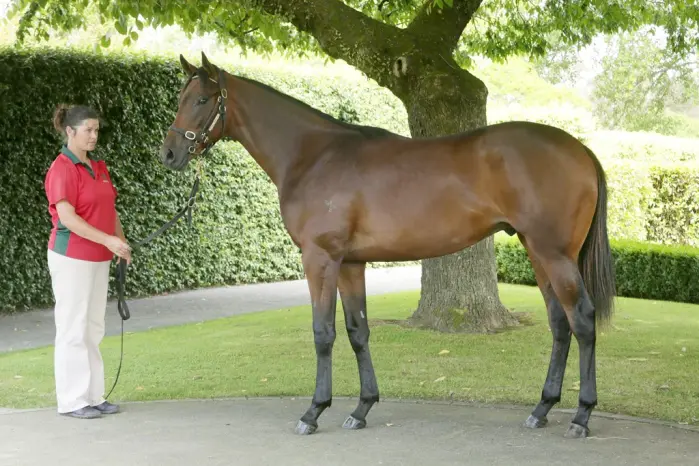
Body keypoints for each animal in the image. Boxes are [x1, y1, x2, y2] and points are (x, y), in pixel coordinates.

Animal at [159, 52, 616, 440]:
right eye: (181, 98)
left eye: (201, 99)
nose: (169, 154)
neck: (313, 156)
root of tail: (580, 149)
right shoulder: (349, 263)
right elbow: (357, 330)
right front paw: (361, 408)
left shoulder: (319, 258)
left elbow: (323, 332)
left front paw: (313, 411)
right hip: (538, 253)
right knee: (560, 324)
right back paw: (542, 409)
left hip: (554, 255)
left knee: (582, 319)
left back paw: (581, 415)